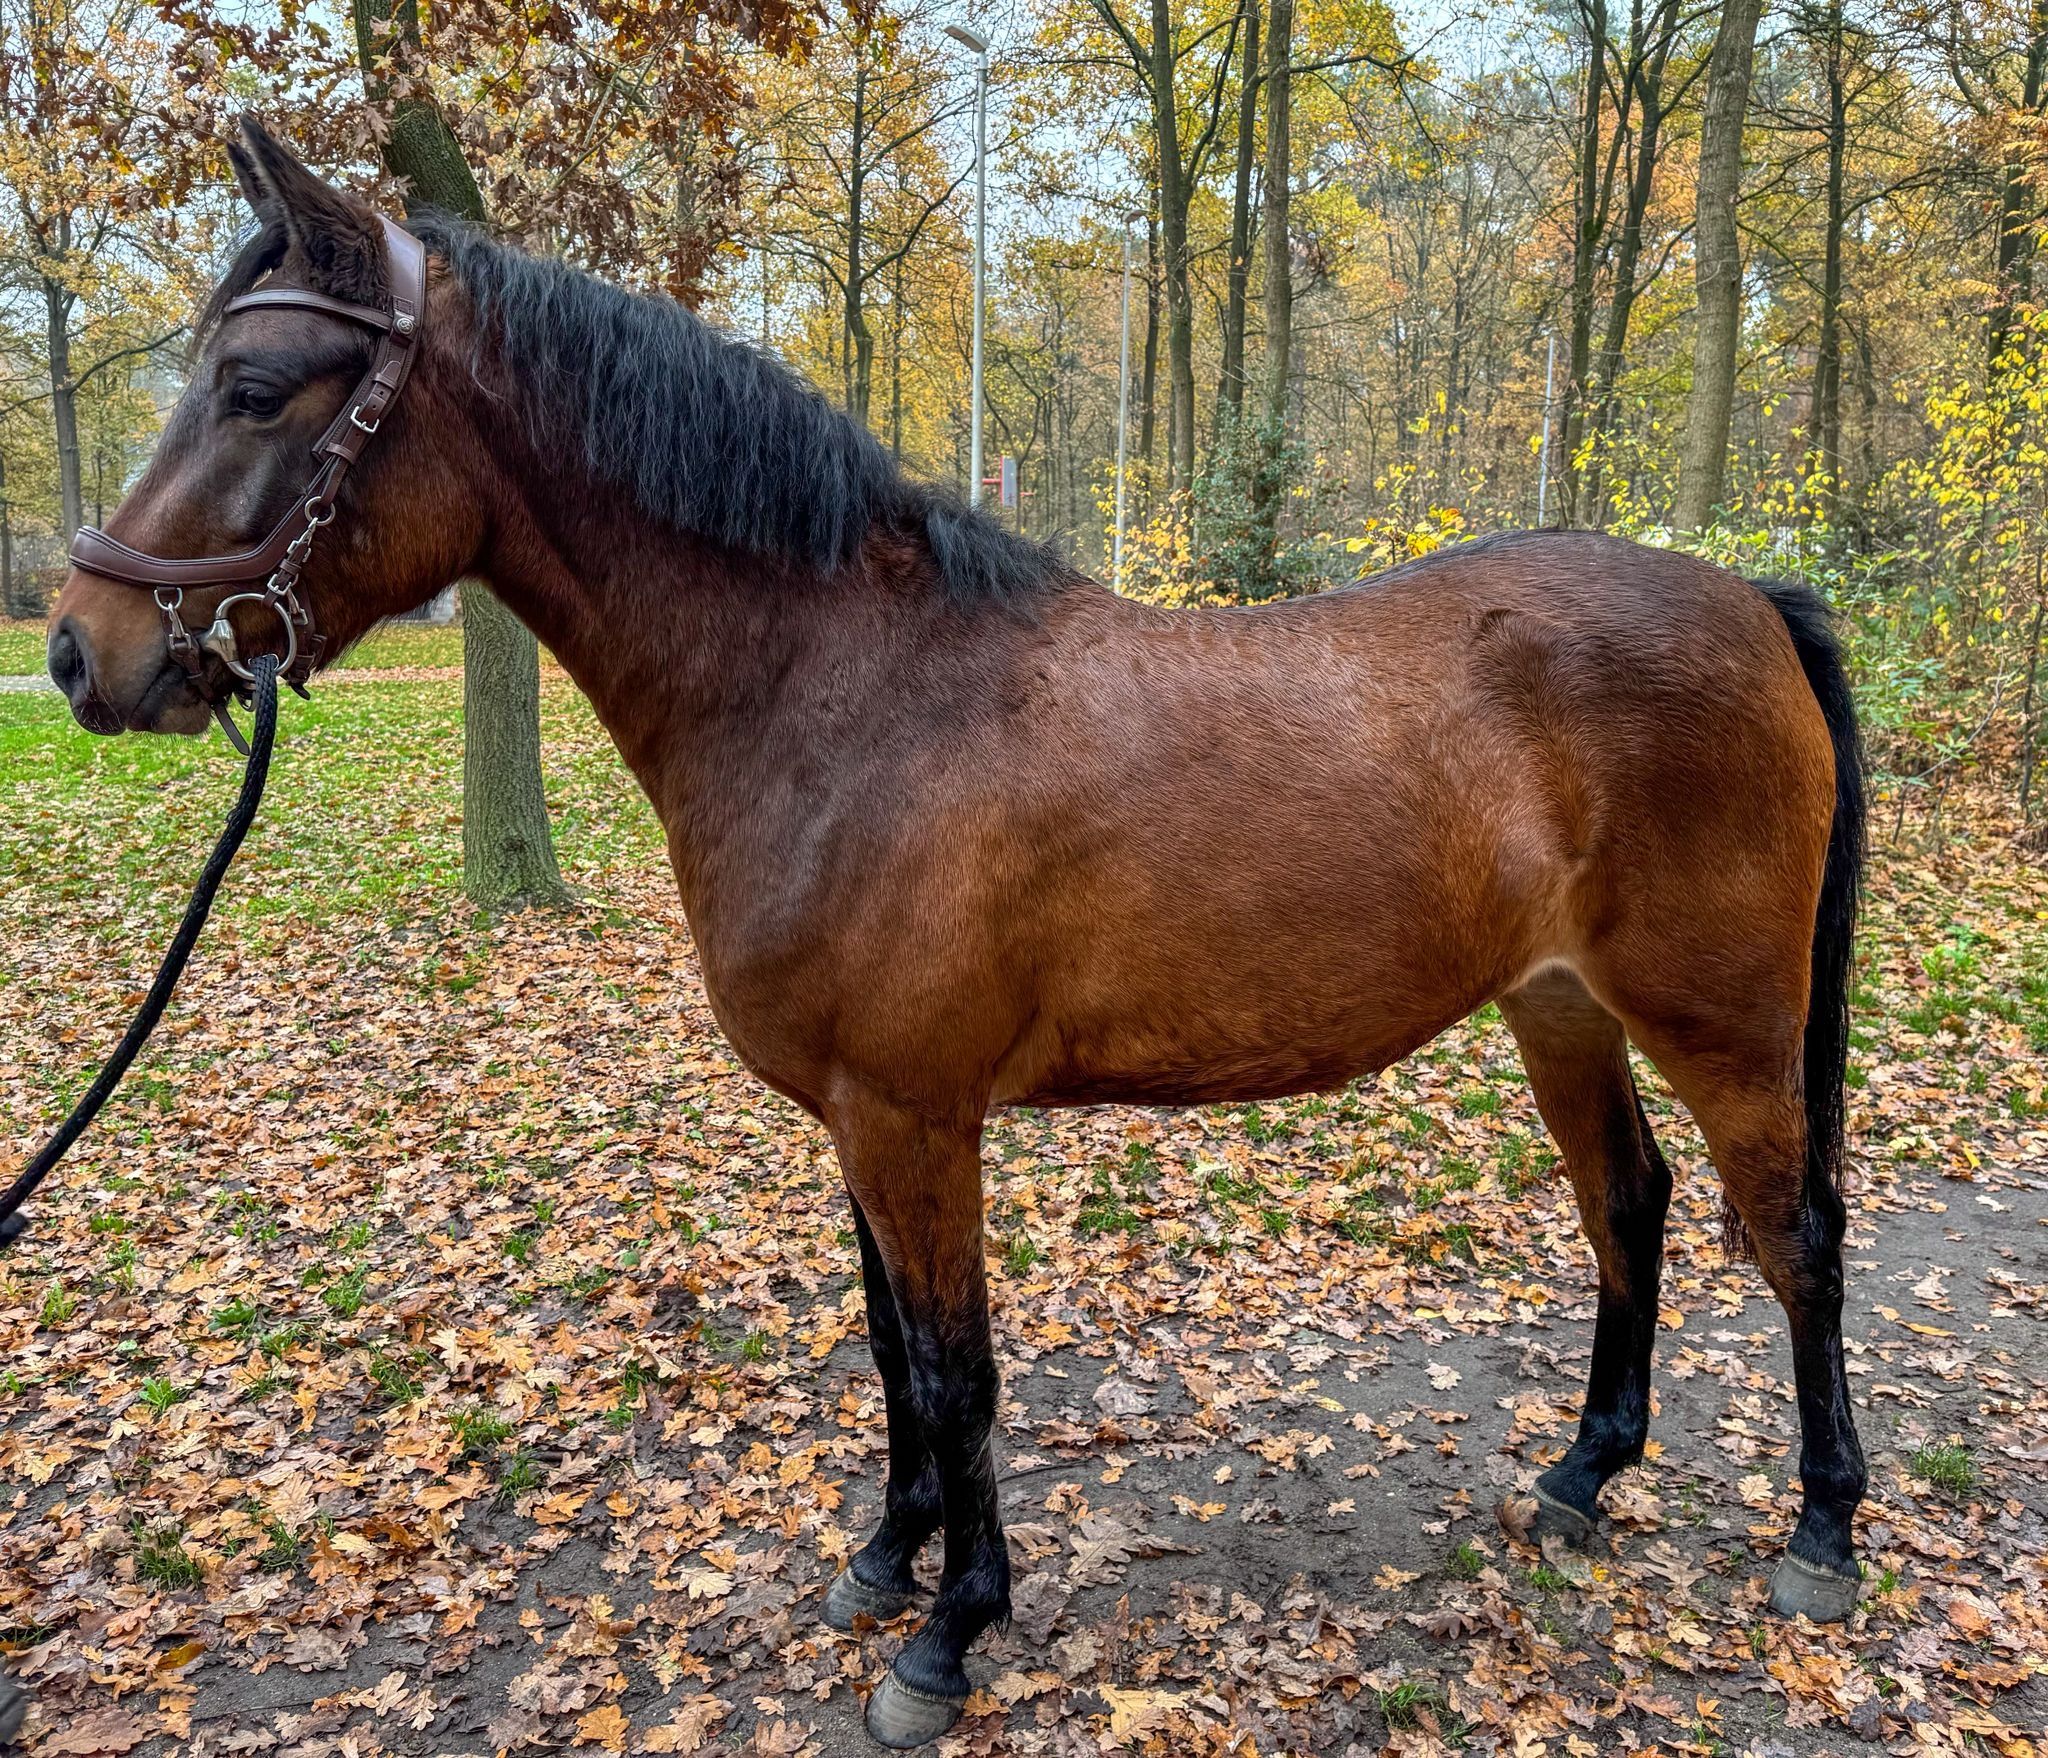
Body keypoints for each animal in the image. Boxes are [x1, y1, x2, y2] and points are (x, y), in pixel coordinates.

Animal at [47, 119, 1868, 1749]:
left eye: (254, 388)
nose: (79, 649)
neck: (841, 694)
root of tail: (1752, 601)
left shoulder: (917, 1116)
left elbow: (958, 1365)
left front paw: (947, 1636)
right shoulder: (857, 1118)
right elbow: (891, 1351)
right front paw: (886, 1558)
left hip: (1719, 1019)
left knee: (1793, 1232)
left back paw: (1822, 1534)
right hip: (1559, 1005)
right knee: (1628, 1206)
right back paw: (1581, 1475)